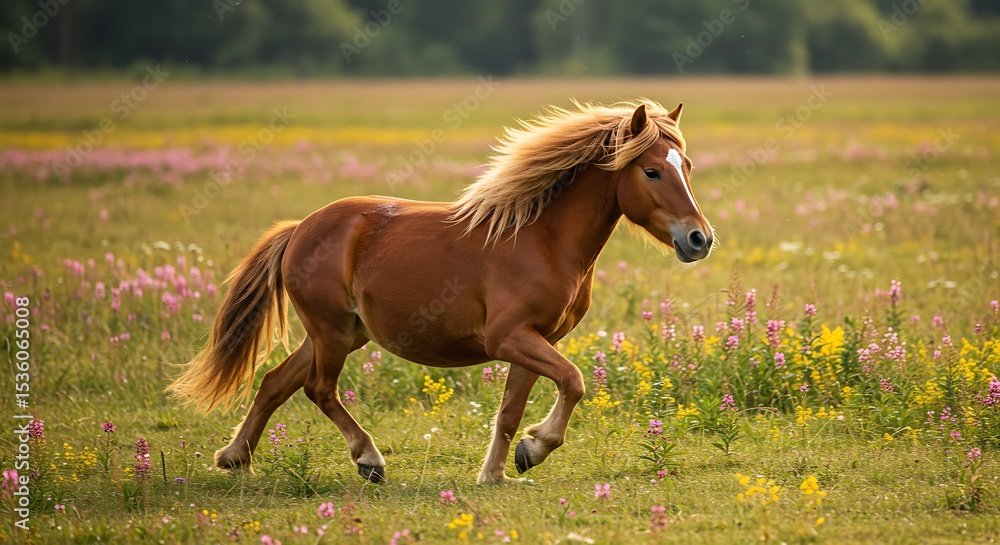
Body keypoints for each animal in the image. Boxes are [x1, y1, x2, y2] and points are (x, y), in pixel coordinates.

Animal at [168, 99, 714, 484]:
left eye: (687, 166)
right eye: (651, 170)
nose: (699, 239)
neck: (543, 239)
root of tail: (299, 228)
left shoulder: (538, 339)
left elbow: (512, 410)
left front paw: (502, 469)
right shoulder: (509, 337)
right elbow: (575, 381)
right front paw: (535, 448)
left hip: (342, 333)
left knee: (274, 382)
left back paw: (235, 458)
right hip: (330, 333)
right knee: (317, 389)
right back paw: (369, 460)